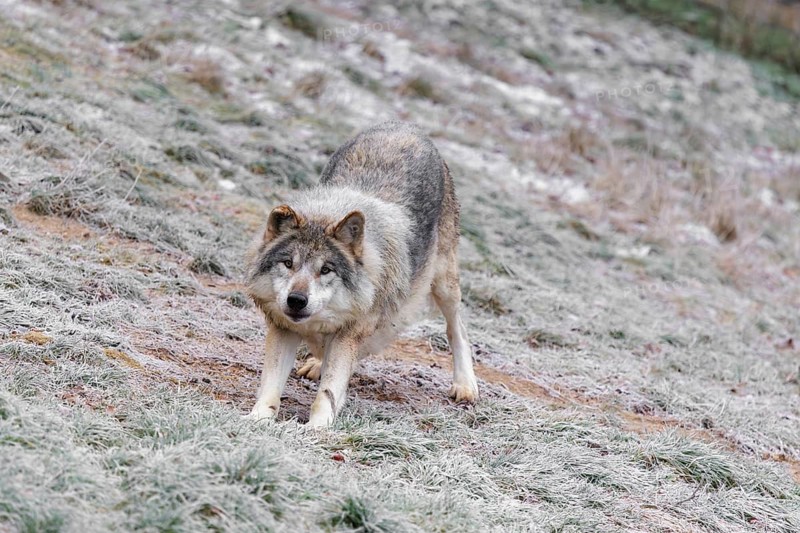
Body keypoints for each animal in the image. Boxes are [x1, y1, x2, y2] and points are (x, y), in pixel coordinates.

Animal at [244, 121, 479, 427]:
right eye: (288, 263)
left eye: (326, 269)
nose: (296, 300)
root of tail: (404, 126)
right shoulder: (284, 327)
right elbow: (271, 386)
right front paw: (256, 419)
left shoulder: (350, 333)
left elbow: (328, 392)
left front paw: (317, 429)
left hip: (444, 284)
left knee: (457, 328)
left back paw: (465, 384)